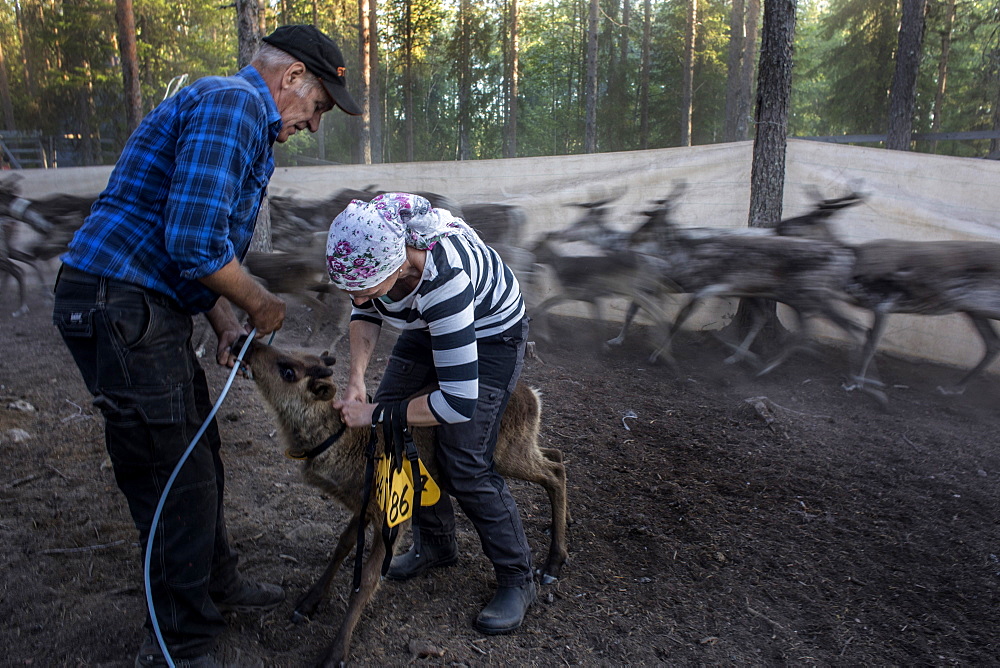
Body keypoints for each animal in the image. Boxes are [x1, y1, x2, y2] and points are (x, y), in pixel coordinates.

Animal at [240, 340, 572, 668]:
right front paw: (307, 603)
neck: (346, 452)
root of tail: (535, 396)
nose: (249, 344)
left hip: (503, 453)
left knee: (554, 472)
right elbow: (342, 546)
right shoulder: (365, 507)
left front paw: (334, 654)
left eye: (288, 371)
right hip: (519, 446)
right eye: (292, 354)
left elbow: (366, 582)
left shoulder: (390, 513)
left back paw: (552, 563)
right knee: (555, 455)